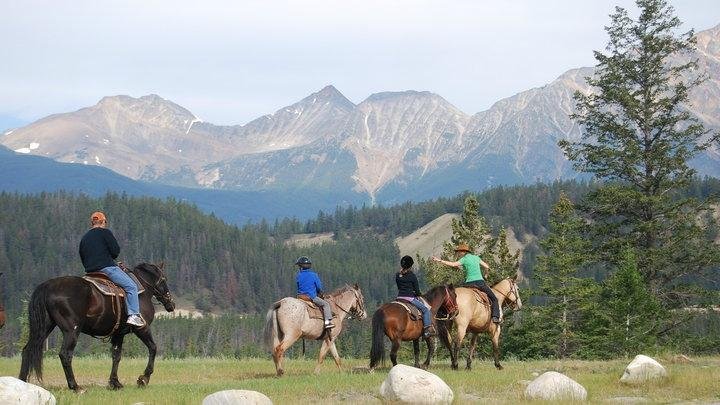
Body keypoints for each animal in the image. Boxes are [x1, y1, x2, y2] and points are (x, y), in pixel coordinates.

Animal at [18, 262, 176, 392]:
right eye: (164, 279)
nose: (171, 304)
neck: (142, 291)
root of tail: (48, 286)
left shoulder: (118, 334)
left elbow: (116, 356)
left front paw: (115, 383)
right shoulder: (142, 328)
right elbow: (153, 348)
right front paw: (144, 378)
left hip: (44, 328)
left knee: (28, 350)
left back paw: (22, 383)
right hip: (71, 331)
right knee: (65, 354)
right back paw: (76, 387)